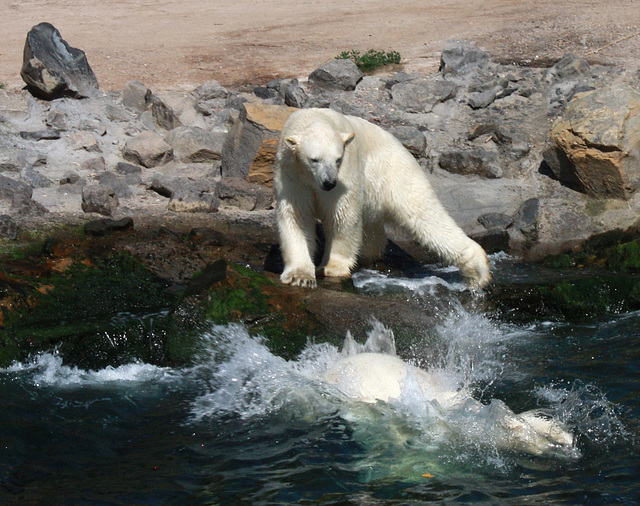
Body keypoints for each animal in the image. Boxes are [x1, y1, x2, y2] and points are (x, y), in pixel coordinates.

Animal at [274, 107, 490, 288]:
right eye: (314, 159)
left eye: (338, 159)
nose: (329, 182)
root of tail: (404, 150)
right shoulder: (291, 174)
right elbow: (296, 216)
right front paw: (300, 276)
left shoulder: (346, 172)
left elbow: (342, 216)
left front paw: (332, 267)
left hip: (395, 173)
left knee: (424, 216)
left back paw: (478, 272)